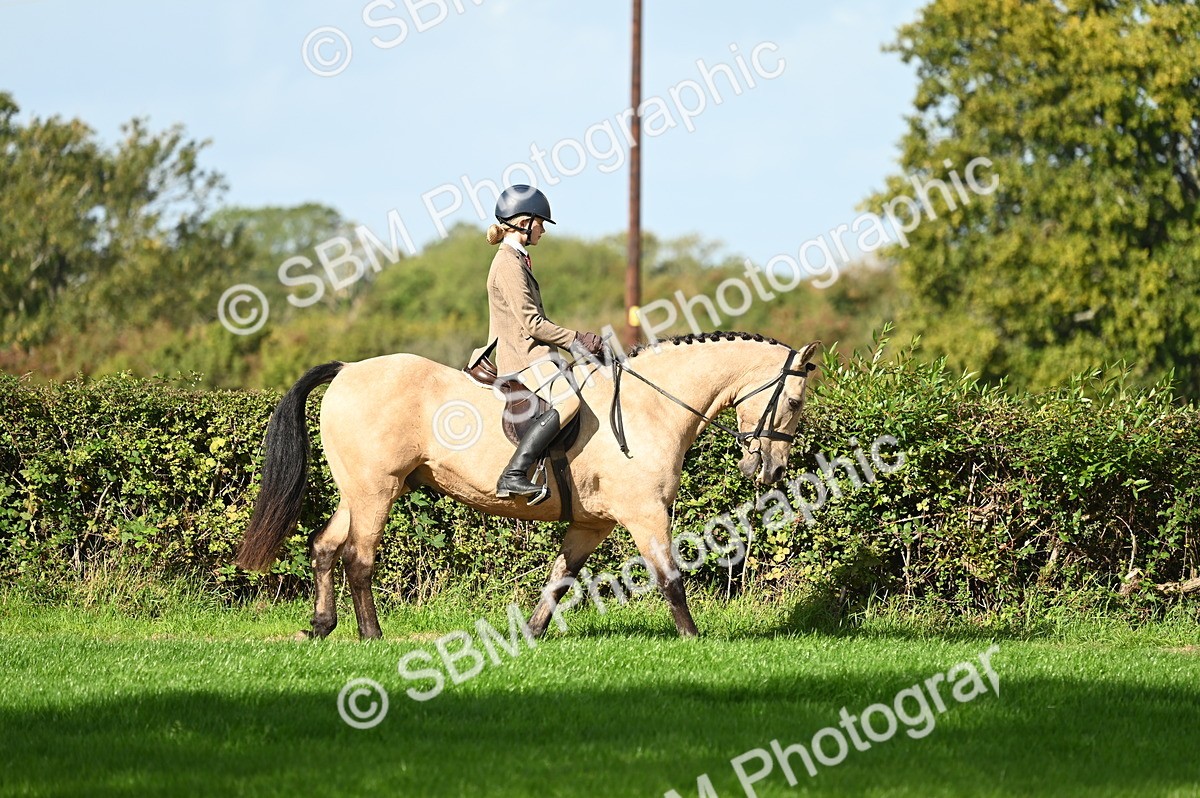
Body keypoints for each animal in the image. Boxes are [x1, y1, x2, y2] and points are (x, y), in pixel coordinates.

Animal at [235, 331, 821, 640]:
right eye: (794, 402)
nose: (769, 471)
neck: (650, 406)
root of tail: (349, 368)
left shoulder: (591, 524)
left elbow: (559, 581)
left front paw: (531, 636)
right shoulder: (645, 513)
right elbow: (670, 577)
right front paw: (694, 642)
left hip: (360, 490)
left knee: (325, 547)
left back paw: (321, 625)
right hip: (377, 491)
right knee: (359, 557)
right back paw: (372, 636)